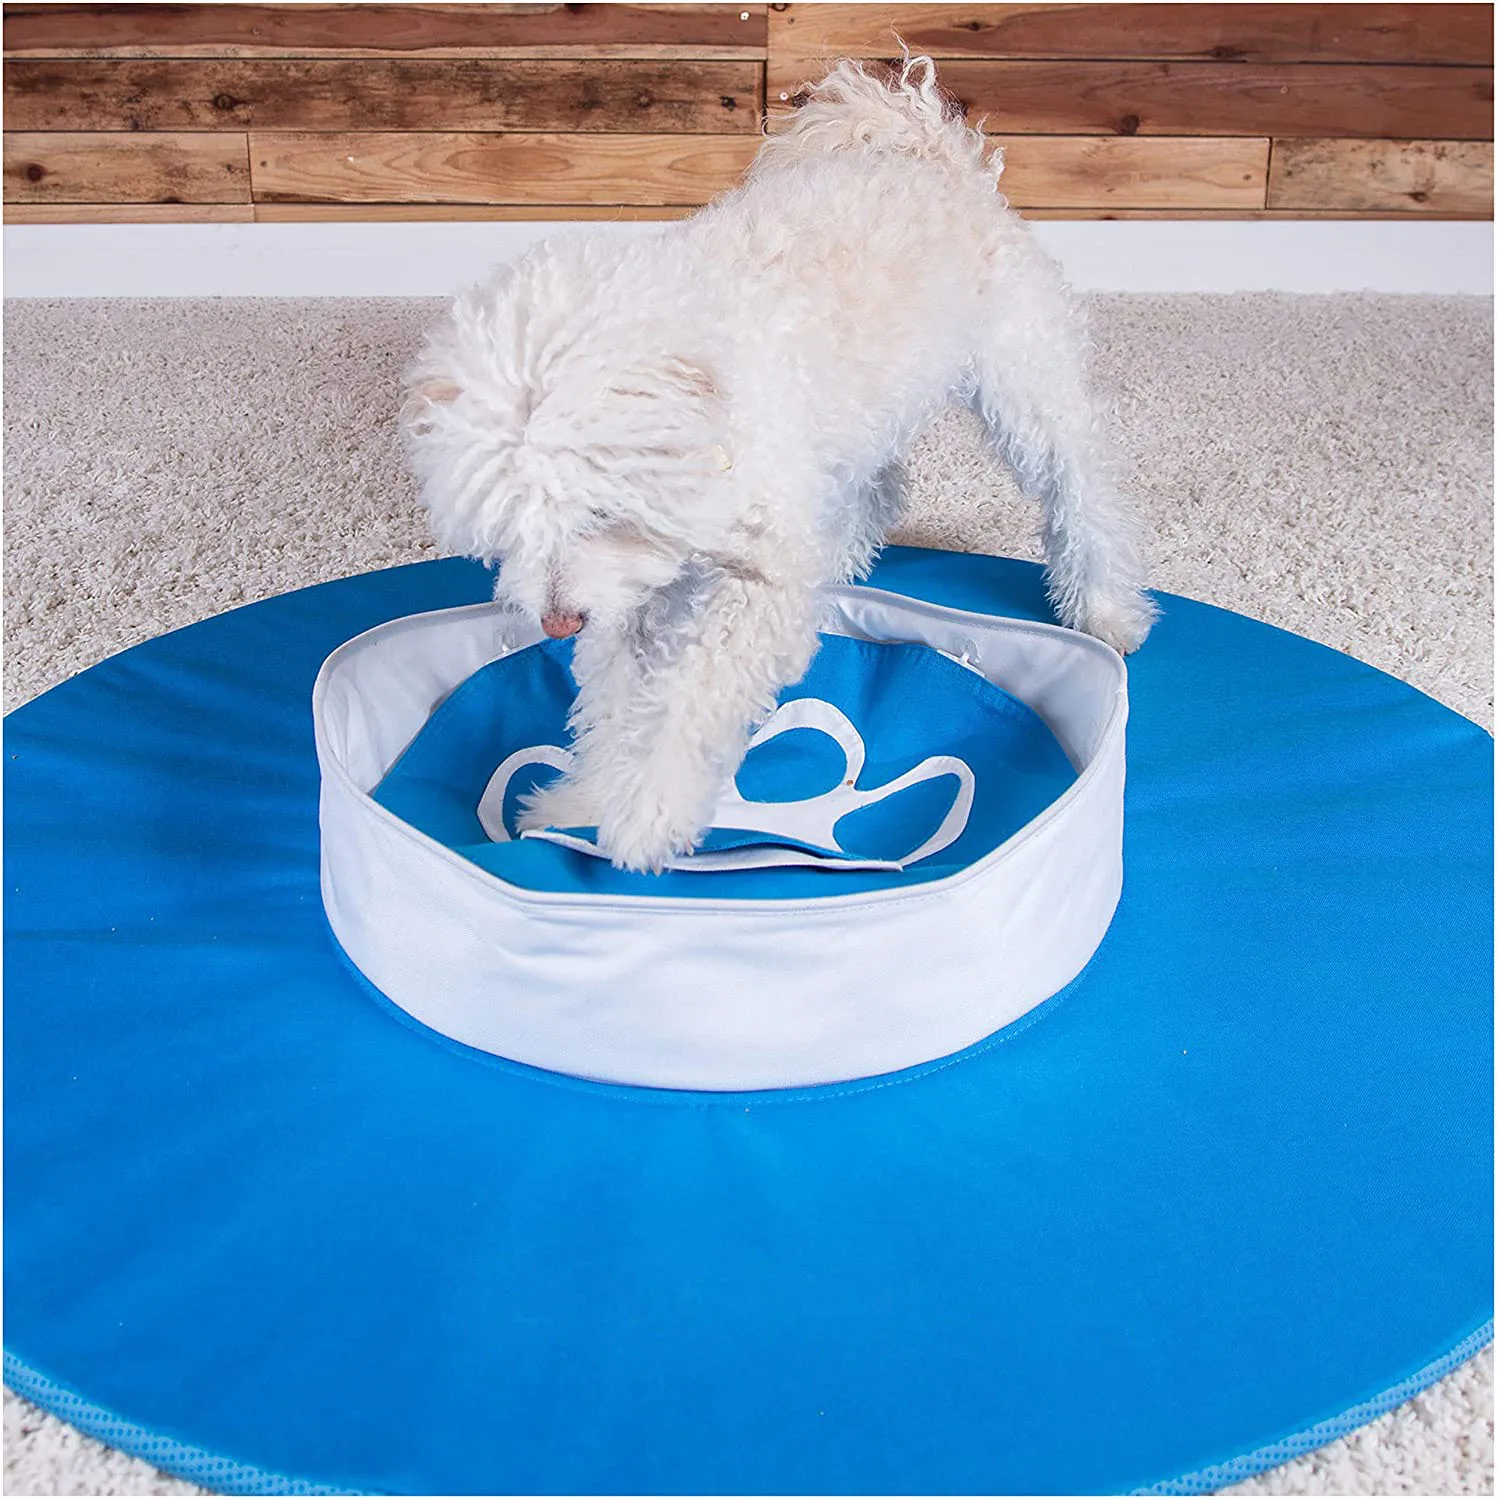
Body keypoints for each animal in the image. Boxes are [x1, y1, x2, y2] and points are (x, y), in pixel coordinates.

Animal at [401, 55, 1156, 873]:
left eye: (599, 512)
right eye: (509, 530)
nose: (558, 621)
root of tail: (923, 144)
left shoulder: (753, 586)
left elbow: (688, 699)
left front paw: (648, 812)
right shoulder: (634, 598)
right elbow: (614, 705)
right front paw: (588, 799)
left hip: (1024, 385)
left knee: (1081, 487)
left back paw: (1105, 606)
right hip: (863, 421)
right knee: (882, 488)